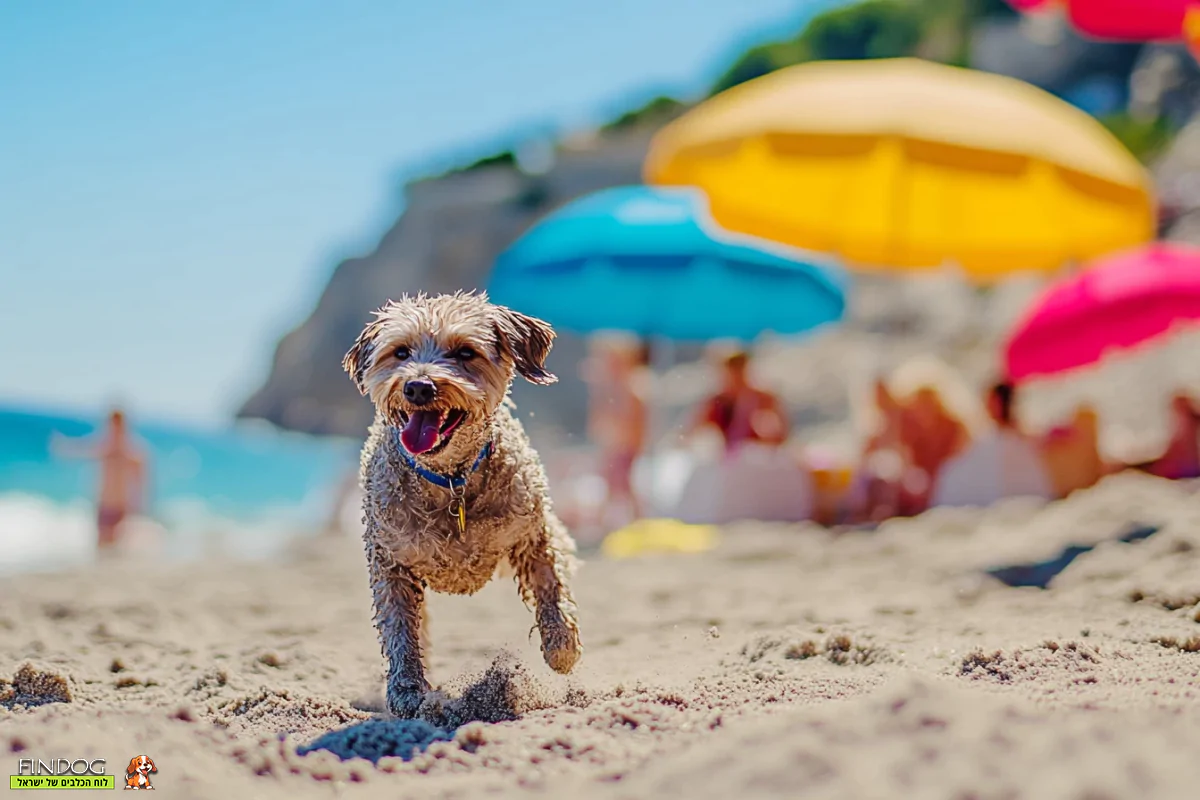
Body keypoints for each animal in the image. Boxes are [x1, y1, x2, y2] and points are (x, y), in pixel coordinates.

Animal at [343, 292, 580, 719]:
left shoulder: (531, 529)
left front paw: (561, 645)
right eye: (401, 352)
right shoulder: (390, 558)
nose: (418, 387)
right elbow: (400, 628)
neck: (450, 480)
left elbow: (550, 581)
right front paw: (407, 689)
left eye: (465, 352)